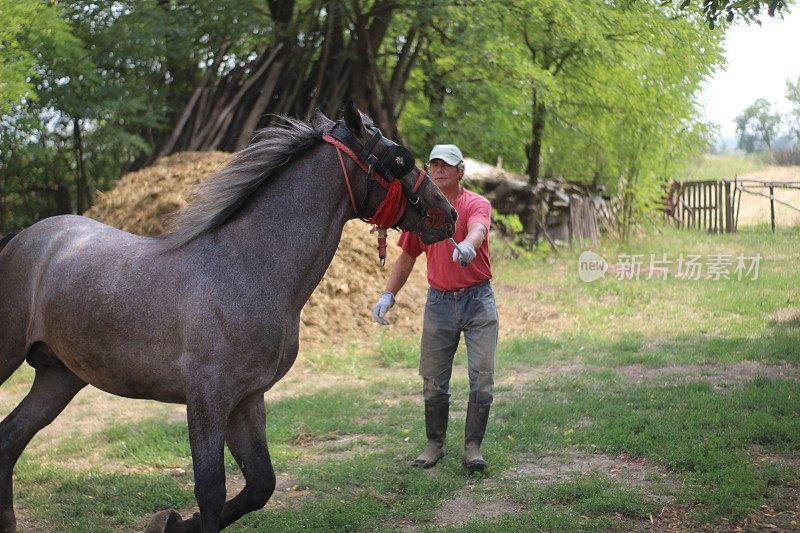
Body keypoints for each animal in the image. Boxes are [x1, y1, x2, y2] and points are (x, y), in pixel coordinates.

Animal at [0, 102, 456, 528]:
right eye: (401, 159)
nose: (448, 214)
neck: (247, 267)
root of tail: (25, 238)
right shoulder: (208, 397)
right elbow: (211, 492)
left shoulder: (247, 399)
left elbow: (259, 485)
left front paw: (172, 524)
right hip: (13, 358)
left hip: (60, 377)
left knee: (10, 437)